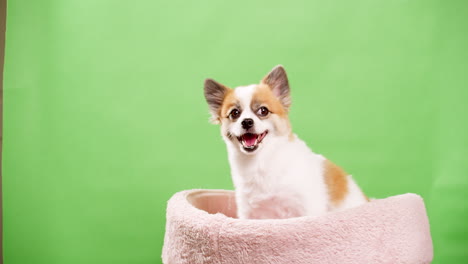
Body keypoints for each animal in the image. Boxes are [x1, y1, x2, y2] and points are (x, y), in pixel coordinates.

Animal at [205, 64, 370, 219]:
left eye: (263, 111)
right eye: (234, 113)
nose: (246, 122)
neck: (260, 161)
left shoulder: (306, 208)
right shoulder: (250, 213)